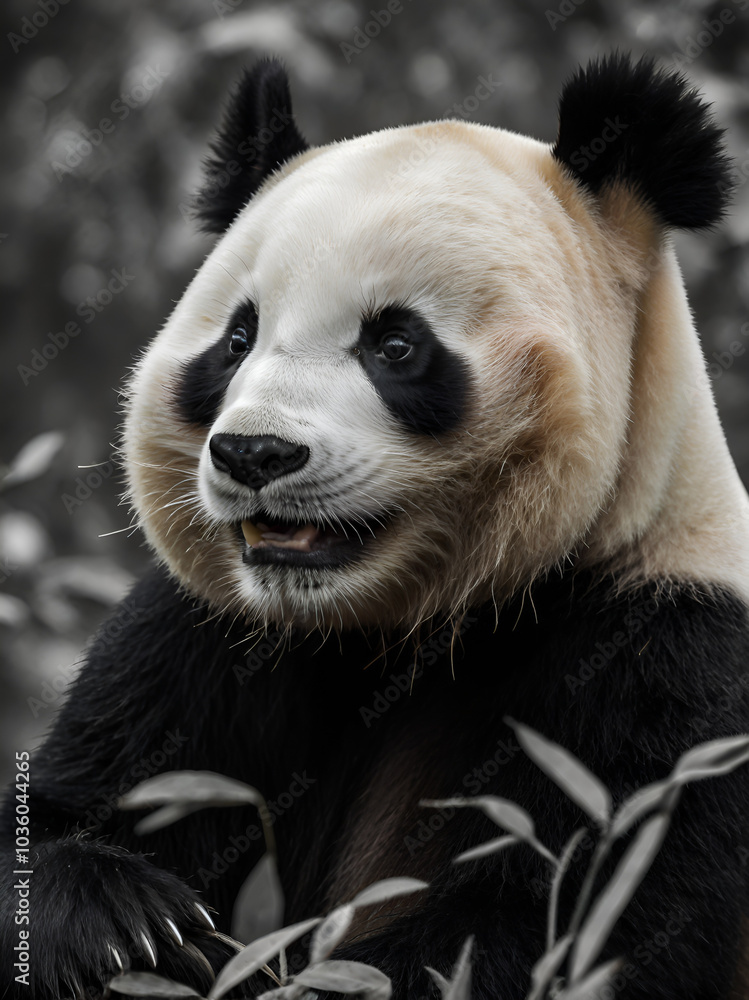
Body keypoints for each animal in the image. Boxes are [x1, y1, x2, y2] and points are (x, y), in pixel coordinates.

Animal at [2, 52, 749, 1000]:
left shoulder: (671, 658)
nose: (253, 453)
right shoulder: (210, 633)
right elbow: (75, 803)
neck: (386, 624)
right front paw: (131, 926)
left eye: (395, 344)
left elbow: (577, 921)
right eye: (238, 338)